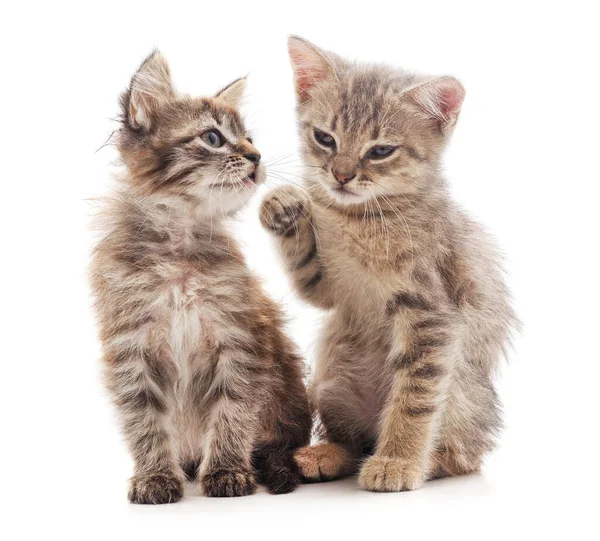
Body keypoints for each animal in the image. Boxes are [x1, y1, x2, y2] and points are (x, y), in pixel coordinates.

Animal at [92, 51, 314, 502]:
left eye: (250, 139)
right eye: (213, 138)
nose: (257, 157)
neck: (180, 243)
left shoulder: (239, 340)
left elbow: (233, 411)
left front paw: (227, 471)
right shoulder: (130, 347)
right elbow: (144, 421)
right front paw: (155, 477)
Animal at [260, 37, 516, 494]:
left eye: (380, 150)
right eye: (324, 138)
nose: (341, 175)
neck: (359, 219)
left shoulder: (433, 317)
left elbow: (414, 399)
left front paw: (398, 460)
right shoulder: (328, 290)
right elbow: (309, 274)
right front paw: (284, 207)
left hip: (461, 391)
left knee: (462, 455)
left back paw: (422, 460)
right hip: (331, 383)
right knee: (354, 441)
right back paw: (324, 454)